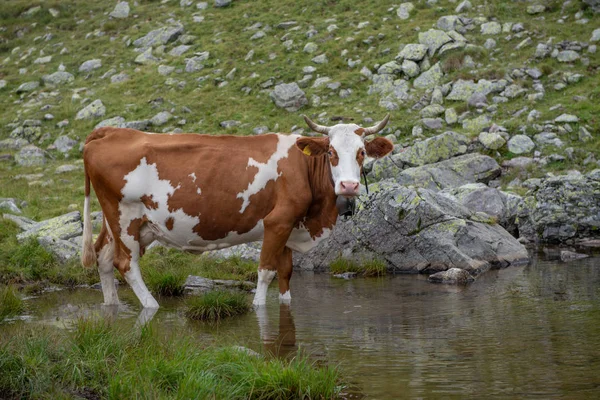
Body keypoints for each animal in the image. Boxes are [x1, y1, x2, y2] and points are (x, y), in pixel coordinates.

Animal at [82, 114, 394, 308]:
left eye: (362, 152)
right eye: (331, 152)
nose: (349, 185)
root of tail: (110, 131)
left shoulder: (290, 227)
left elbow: (286, 274)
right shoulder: (277, 222)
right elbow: (266, 272)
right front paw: (259, 308)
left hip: (122, 223)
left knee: (104, 257)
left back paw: (112, 306)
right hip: (125, 217)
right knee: (125, 263)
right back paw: (151, 306)